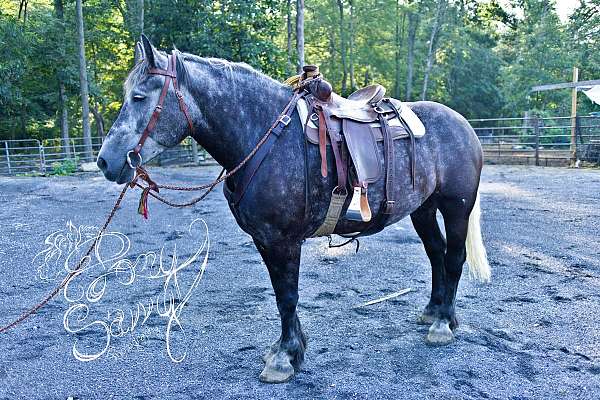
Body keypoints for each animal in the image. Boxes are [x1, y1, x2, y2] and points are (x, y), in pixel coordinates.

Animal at [98, 36, 490, 382]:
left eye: (138, 96)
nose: (106, 161)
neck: (263, 137)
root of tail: (462, 124)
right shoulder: (266, 240)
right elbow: (280, 294)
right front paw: (290, 349)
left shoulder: (283, 240)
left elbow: (288, 296)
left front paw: (285, 358)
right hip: (422, 208)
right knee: (436, 253)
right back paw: (434, 311)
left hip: (456, 207)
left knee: (454, 257)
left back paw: (443, 323)